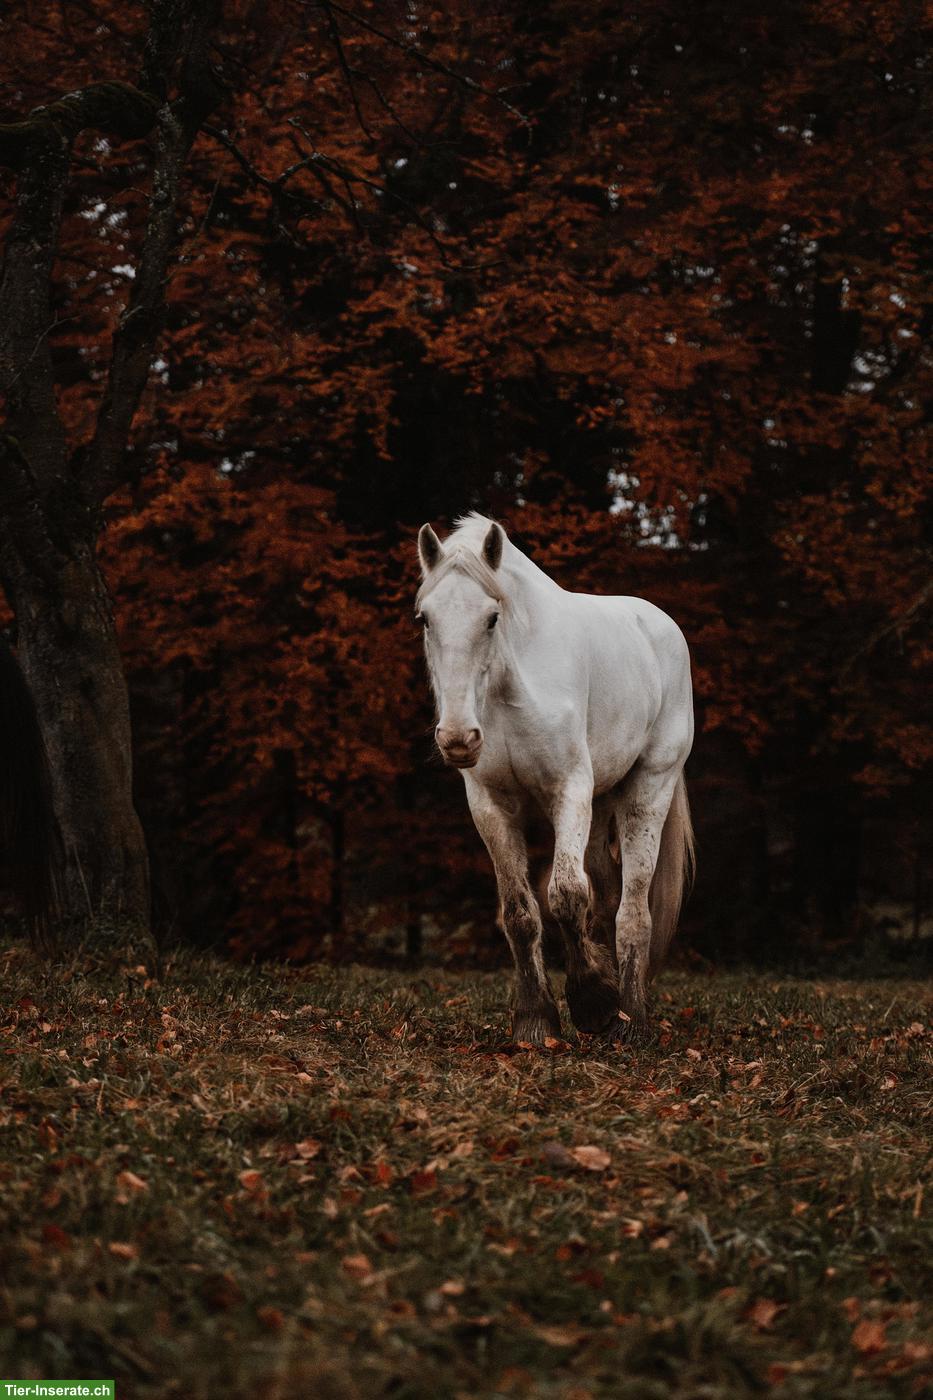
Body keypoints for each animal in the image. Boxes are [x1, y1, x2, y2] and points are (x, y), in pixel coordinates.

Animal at [415, 513, 694, 1044]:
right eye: (424, 619)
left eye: (492, 617)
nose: (458, 738)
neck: (511, 689)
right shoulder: (490, 804)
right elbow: (520, 911)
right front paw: (535, 1019)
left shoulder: (569, 791)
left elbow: (565, 895)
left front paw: (592, 1002)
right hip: (603, 803)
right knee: (606, 898)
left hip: (648, 790)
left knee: (633, 908)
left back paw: (631, 1018)